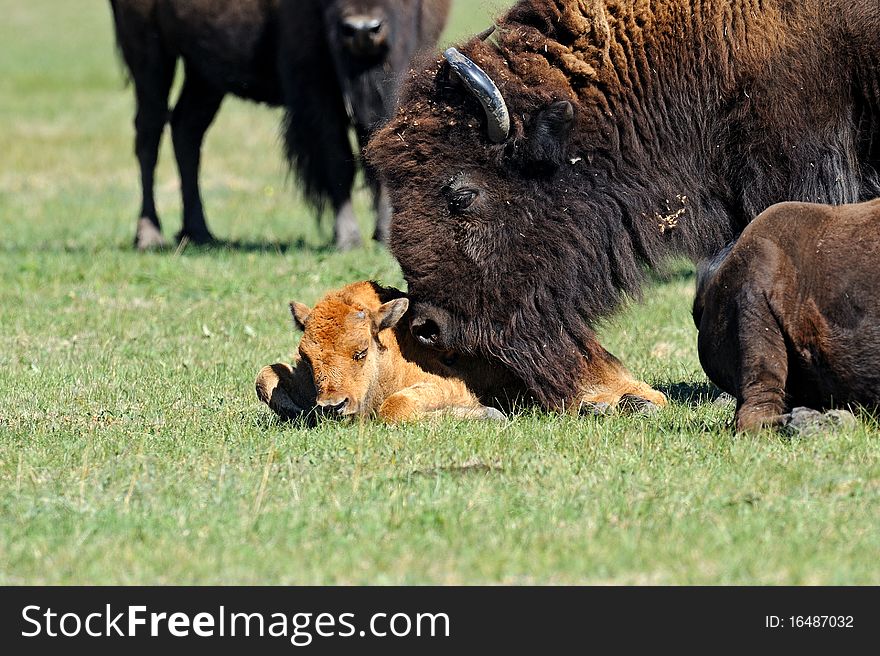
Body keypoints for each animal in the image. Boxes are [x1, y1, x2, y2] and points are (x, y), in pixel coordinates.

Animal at [110, 0, 450, 251]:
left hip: (203, 76)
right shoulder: (314, 86)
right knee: (149, 134)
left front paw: (384, 234)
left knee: (187, 130)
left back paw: (200, 233)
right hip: (150, 55)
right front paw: (347, 238)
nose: (362, 30)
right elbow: (337, 158)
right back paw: (149, 236)